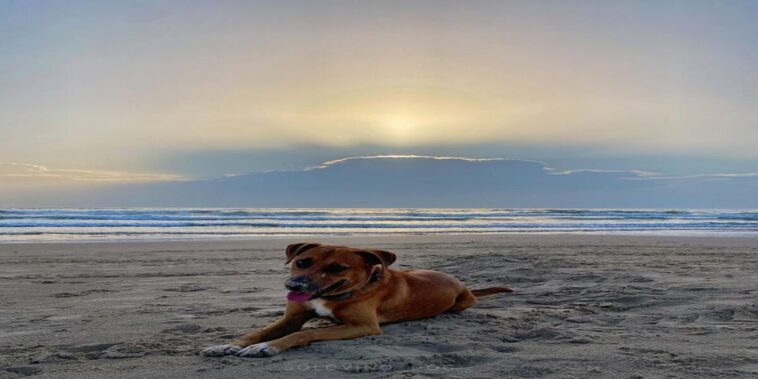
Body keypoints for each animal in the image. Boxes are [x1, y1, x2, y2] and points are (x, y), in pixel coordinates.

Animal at [199, 245, 512, 358]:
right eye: (302, 262)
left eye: (337, 268)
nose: (294, 285)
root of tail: (464, 285)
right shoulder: (291, 317)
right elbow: (258, 332)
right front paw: (229, 344)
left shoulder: (363, 326)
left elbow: (304, 333)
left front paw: (267, 347)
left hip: (462, 303)